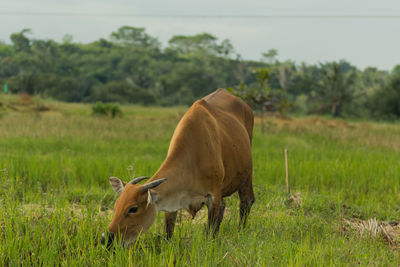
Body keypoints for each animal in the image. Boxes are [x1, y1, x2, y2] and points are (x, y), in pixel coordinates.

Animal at [101, 89, 255, 248]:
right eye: (116, 206)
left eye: (133, 208)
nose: (106, 239)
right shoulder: (172, 202)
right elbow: (168, 232)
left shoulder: (214, 196)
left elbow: (210, 231)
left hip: (247, 177)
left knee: (247, 202)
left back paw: (241, 231)